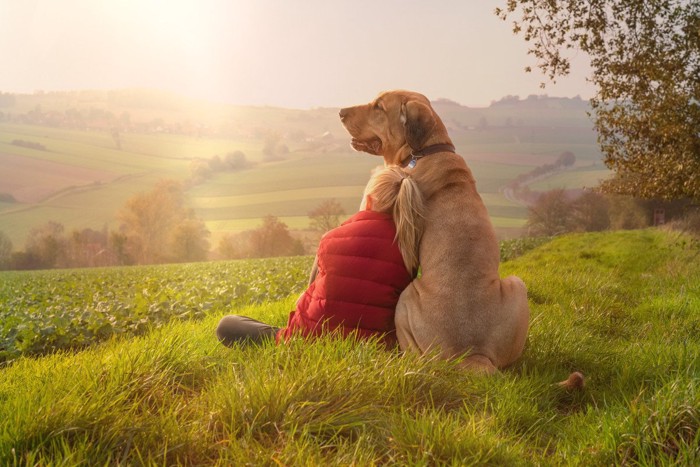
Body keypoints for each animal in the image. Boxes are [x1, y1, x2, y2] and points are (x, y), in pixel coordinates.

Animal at [340, 90, 532, 372]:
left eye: (379, 107)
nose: (340, 112)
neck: (424, 150)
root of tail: (472, 354)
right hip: (518, 285)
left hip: (406, 298)